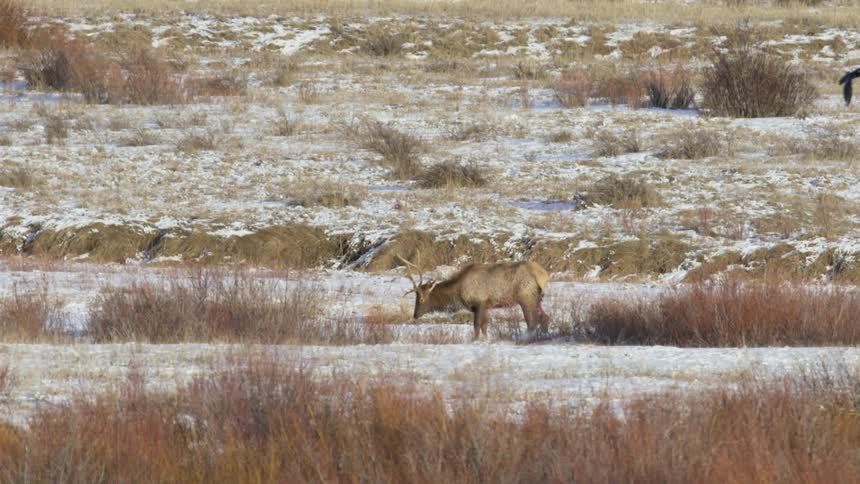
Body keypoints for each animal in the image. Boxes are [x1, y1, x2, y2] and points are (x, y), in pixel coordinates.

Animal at [397, 253, 550, 340]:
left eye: (421, 299)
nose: (415, 315)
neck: (458, 292)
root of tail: (543, 275)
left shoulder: (479, 302)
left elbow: (476, 325)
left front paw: (475, 340)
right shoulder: (486, 305)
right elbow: (484, 326)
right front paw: (486, 340)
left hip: (526, 297)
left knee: (532, 321)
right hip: (538, 298)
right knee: (545, 317)